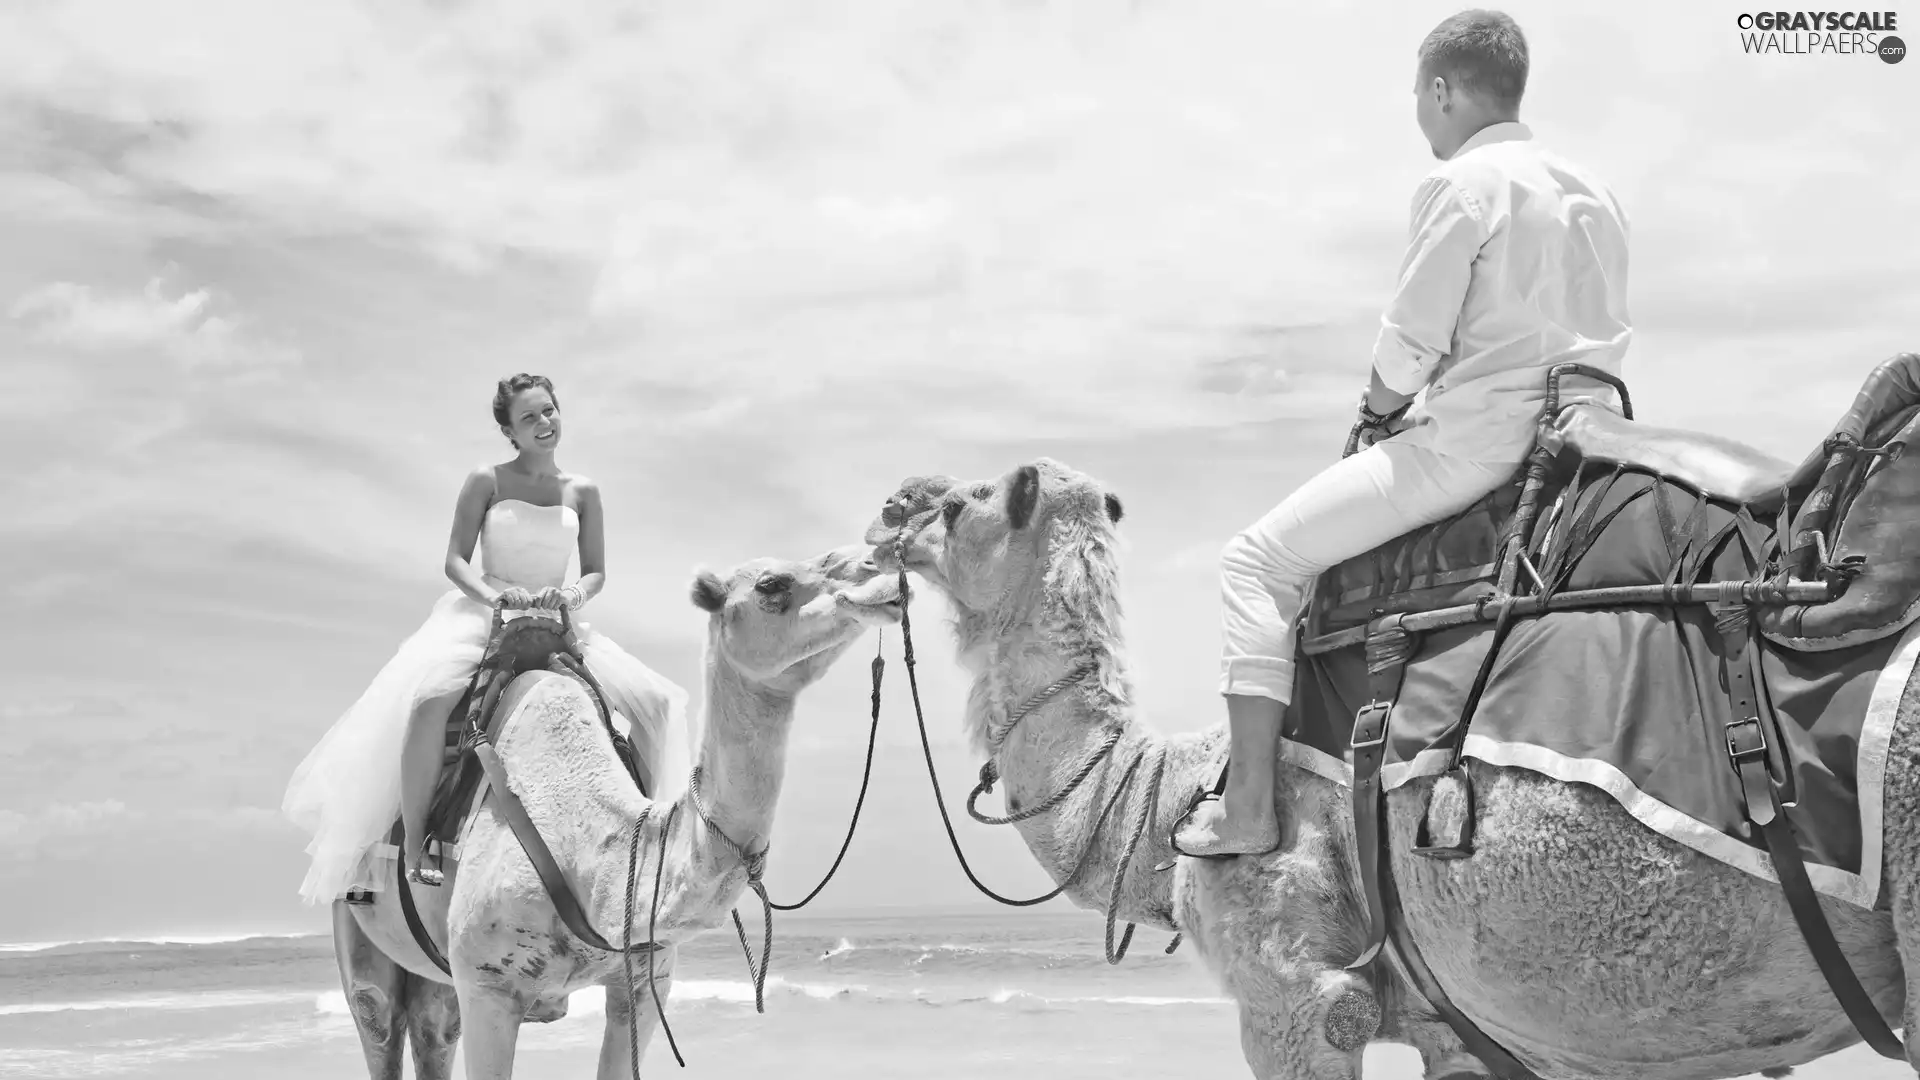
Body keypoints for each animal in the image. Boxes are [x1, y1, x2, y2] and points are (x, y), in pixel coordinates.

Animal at [326, 541, 902, 1076]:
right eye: (772, 584)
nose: (882, 565)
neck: (584, 849)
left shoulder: (646, 984)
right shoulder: (486, 984)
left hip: (438, 980)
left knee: (433, 1031)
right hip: (361, 935)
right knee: (379, 1021)